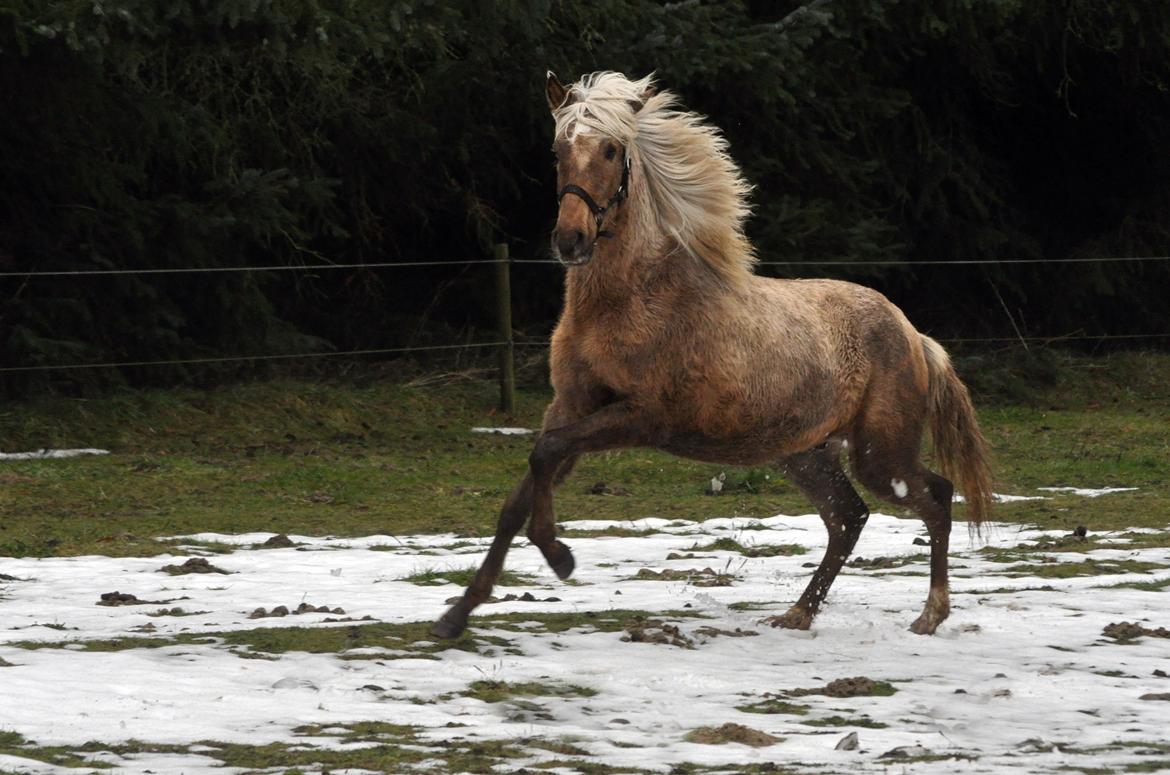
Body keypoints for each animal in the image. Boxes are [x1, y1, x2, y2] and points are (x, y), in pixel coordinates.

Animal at [435, 69, 992, 641]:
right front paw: (456, 615)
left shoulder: (642, 417)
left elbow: (545, 455)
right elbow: (523, 488)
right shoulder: (570, 404)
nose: (571, 240)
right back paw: (797, 614)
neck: (633, 298)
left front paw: (559, 556)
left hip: (880, 454)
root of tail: (914, 334)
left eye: (612, 149)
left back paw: (929, 614)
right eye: (558, 149)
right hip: (803, 453)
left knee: (936, 497)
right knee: (848, 517)